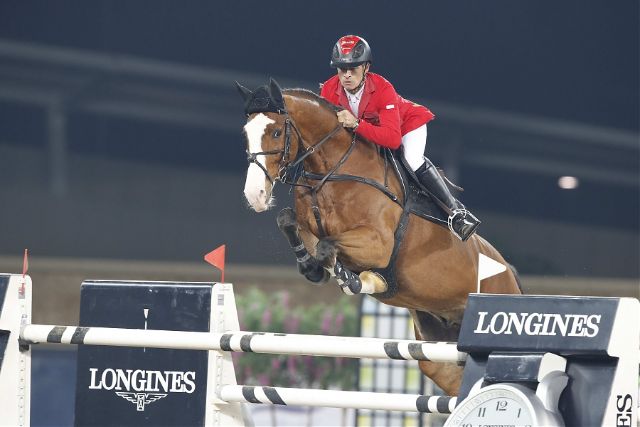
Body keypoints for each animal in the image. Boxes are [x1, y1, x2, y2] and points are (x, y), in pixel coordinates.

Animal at [235, 77, 520, 398]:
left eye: (275, 131)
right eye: (246, 133)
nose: (255, 195)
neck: (333, 170)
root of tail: (510, 272)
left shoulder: (378, 243)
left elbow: (327, 247)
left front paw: (358, 279)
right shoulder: (309, 225)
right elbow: (289, 222)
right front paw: (314, 269)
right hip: (439, 353)